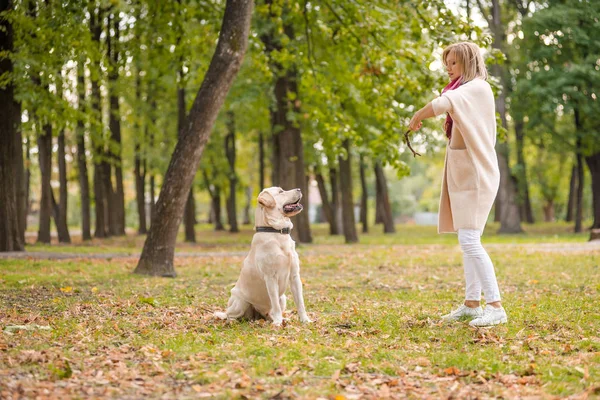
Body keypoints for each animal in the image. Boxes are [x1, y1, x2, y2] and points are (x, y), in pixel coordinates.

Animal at [214, 187, 312, 324]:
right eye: (281, 191)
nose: (299, 189)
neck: (277, 233)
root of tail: (257, 315)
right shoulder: (270, 277)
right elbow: (275, 304)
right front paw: (278, 323)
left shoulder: (295, 276)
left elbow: (300, 302)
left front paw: (305, 320)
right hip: (240, 301)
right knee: (230, 314)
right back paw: (233, 321)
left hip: (283, 297)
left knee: (269, 314)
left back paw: (280, 319)